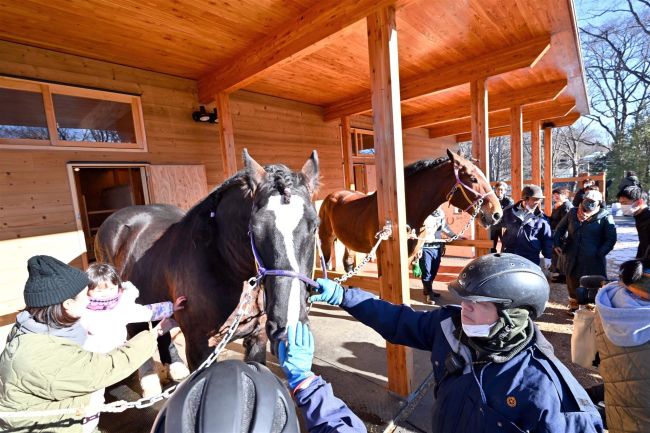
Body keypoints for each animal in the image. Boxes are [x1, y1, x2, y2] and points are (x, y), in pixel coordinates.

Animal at [95, 149, 320, 372]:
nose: (287, 330)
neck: (222, 263)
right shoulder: (199, 348)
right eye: (254, 229)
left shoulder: (258, 337)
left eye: (315, 226)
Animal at [318, 149, 502, 271]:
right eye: (472, 178)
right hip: (325, 240)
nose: (496, 214)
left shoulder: (409, 256)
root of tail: (331, 196)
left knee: (348, 262)